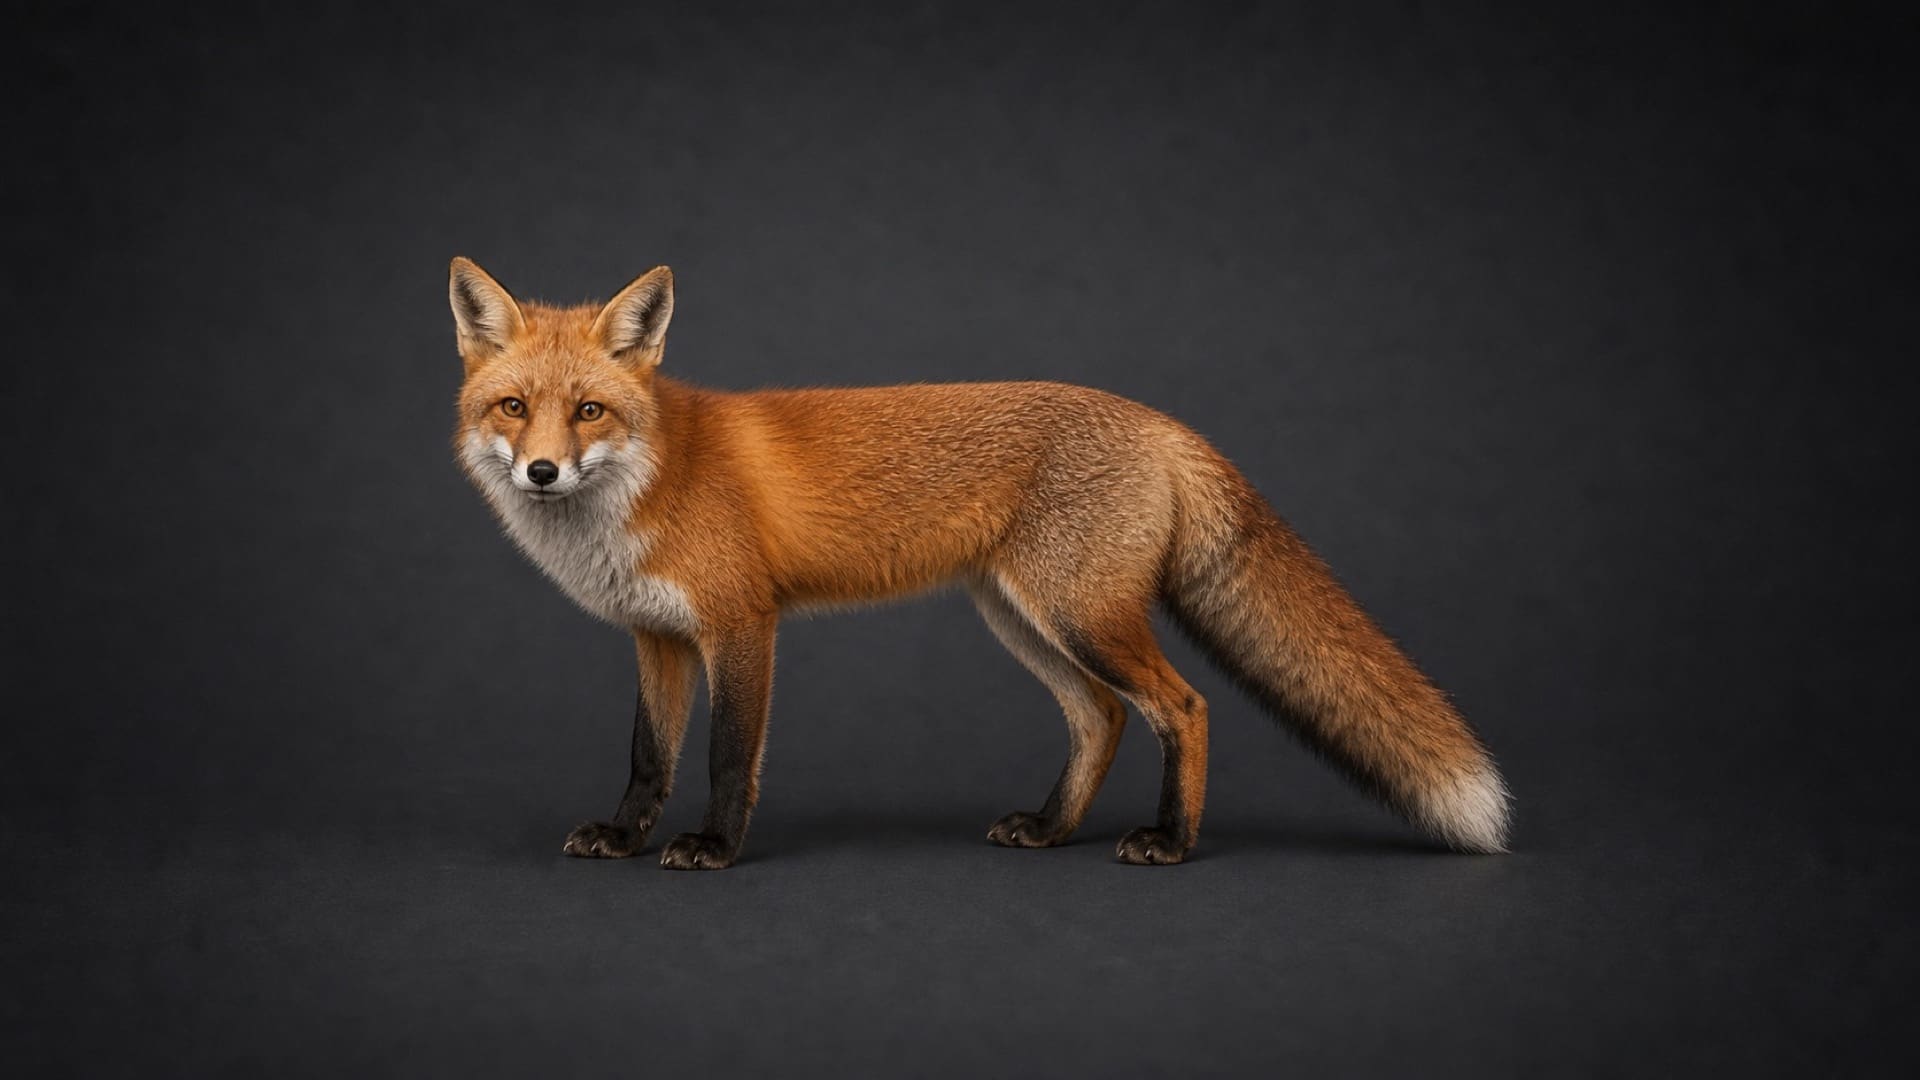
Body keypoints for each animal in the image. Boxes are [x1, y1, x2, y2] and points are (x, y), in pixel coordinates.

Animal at [448, 256, 1510, 870]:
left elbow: (725, 756)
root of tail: (1163, 423)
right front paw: (625, 837)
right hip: (1023, 620)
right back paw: (1050, 829)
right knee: (1101, 719)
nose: (542, 470)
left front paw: (713, 846)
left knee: (1184, 707)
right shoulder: (658, 639)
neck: (649, 483)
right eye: (514, 408)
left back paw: (1171, 840)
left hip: (1080, 616)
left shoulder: (742, 624)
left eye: (590, 411)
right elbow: (647, 757)